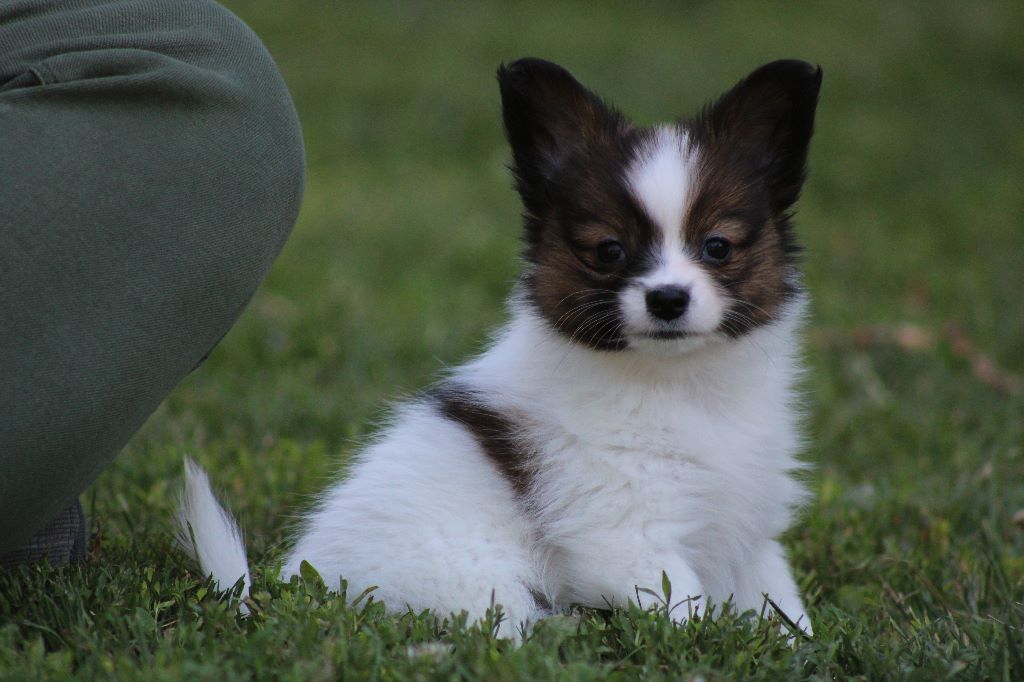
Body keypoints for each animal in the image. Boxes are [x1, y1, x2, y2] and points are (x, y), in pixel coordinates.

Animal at [178, 58, 823, 638]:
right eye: (609, 251)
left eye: (718, 247)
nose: (667, 298)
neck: (680, 383)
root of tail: (296, 591)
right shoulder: (625, 534)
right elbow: (692, 614)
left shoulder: (750, 534)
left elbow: (781, 609)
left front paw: (795, 646)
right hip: (480, 581)